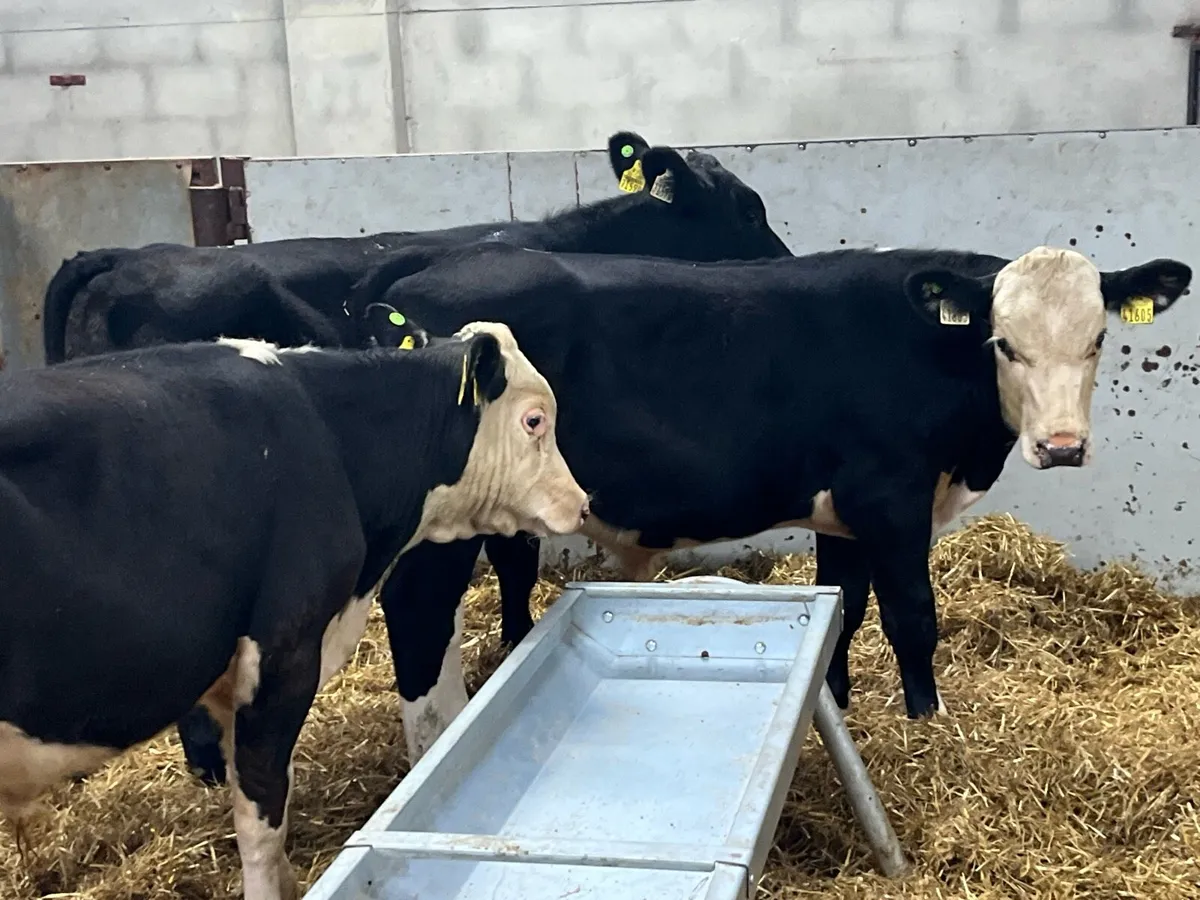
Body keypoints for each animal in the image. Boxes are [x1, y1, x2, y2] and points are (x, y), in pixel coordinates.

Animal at [341, 240, 1190, 761]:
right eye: (1003, 343)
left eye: (1097, 341)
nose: (1062, 446)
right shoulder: (891, 494)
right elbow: (912, 615)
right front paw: (929, 726)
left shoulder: (843, 510)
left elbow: (846, 606)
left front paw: (835, 701)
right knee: (419, 611)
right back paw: (435, 737)